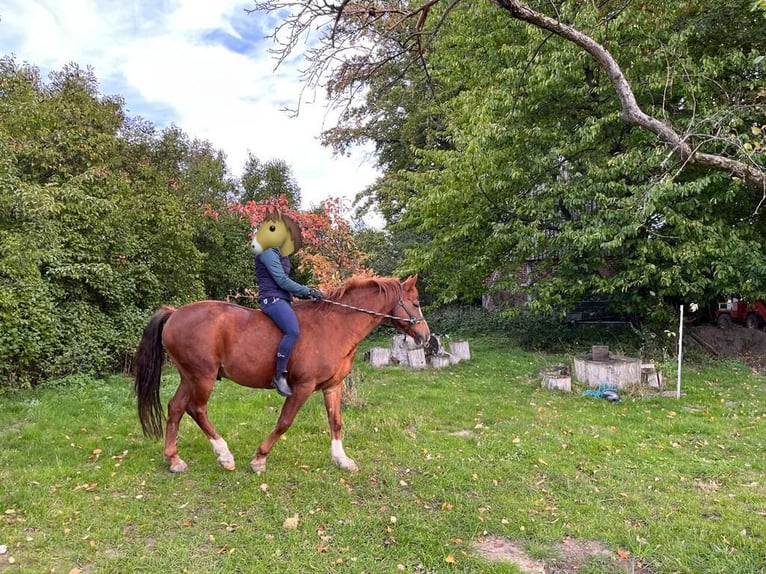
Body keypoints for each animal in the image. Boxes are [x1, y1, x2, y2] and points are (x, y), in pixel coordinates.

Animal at [134, 276, 432, 474]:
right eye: (416, 303)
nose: (425, 337)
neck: (335, 325)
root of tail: (174, 313)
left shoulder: (333, 386)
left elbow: (336, 422)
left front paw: (342, 460)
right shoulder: (302, 387)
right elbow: (284, 422)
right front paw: (259, 459)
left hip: (189, 377)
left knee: (175, 408)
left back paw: (174, 459)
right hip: (202, 377)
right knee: (197, 409)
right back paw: (224, 455)